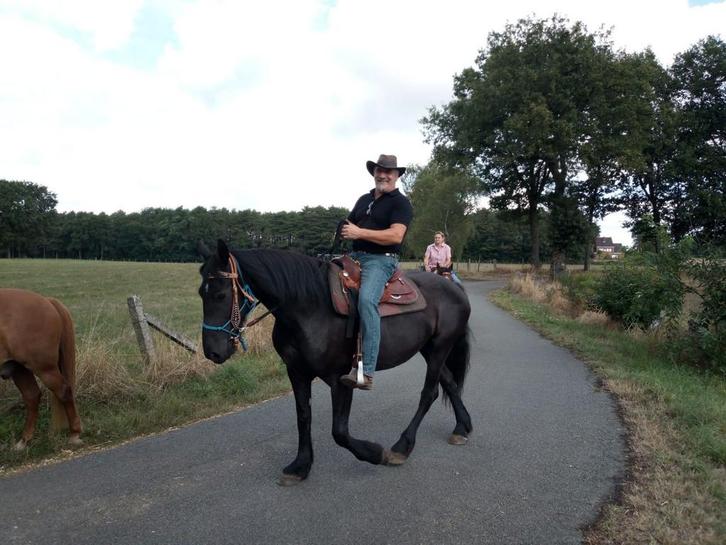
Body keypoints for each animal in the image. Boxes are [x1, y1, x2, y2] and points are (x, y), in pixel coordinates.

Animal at [0, 288, 82, 450]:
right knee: (32, 396)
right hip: (19, 369)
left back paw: (74, 434)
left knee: (63, 391)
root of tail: (47, 300)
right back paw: (24, 441)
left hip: (44, 369)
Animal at [198, 240, 473, 486]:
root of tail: (454, 289)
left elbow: (339, 432)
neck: (309, 307)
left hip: (439, 348)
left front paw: (375, 453)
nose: (212, 352)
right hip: (430, 349)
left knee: (429, 393)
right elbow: (303, 417)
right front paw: (300, 466)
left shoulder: (340, 379)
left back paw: (401, 447)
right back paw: (462, 428)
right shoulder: (296, 372)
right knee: (449, 383)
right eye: (201, 293)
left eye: (221, 294)